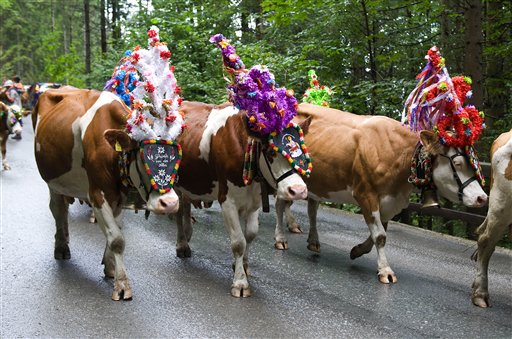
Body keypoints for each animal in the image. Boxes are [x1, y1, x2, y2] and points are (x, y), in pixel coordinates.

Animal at [32, 87, 180, 300]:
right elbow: (117, 239)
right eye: (144, 156)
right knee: (58, 210)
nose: (169, 203)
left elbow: (115, 231)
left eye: (178, 156)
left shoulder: (120, 195)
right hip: (53, 183)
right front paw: (122, 284)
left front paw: (110, 267)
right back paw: (61, 246)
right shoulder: (97, 194)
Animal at [174, 101, 308, 298]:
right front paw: (240, 283)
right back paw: (182, 244)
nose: (298, 190)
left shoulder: (255, 202)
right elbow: (238, 242)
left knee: (185, 204)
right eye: (270, 152)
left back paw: (187, 233)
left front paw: (243, 266)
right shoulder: (227, 201)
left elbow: (250, 235)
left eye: (304, 153)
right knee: (177, 211)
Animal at [274, 103, 490, 284]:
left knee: (312, 208)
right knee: (280, 204)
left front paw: (357, 250)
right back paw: (280, 239)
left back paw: (313, 241)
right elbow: (380, 236)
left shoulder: (390, 202)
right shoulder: (365, 193)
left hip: (317, 184)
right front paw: (385, 270)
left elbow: (378, 235)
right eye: (458, 163)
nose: (483, 198)